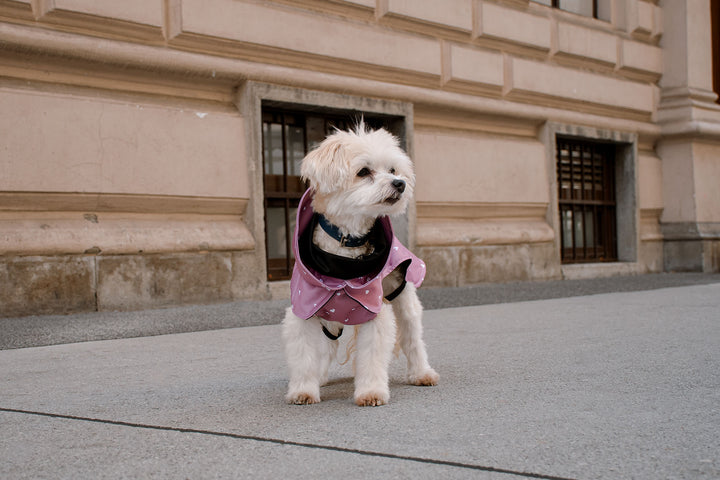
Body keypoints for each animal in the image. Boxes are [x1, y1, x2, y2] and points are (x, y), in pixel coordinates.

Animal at [282, 124, 438, 404]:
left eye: (392, 170)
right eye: (364, 172)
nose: (400, 183)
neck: (346, 248)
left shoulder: (373, 310)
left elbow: (372, 356)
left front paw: (371, 391)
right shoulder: (304, 309)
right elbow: (304, 356)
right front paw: (303, 389)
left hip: (404, 300)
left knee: (412, 339)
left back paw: (421, 373)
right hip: (330, 319)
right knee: (327, 346)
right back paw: (321, 376)